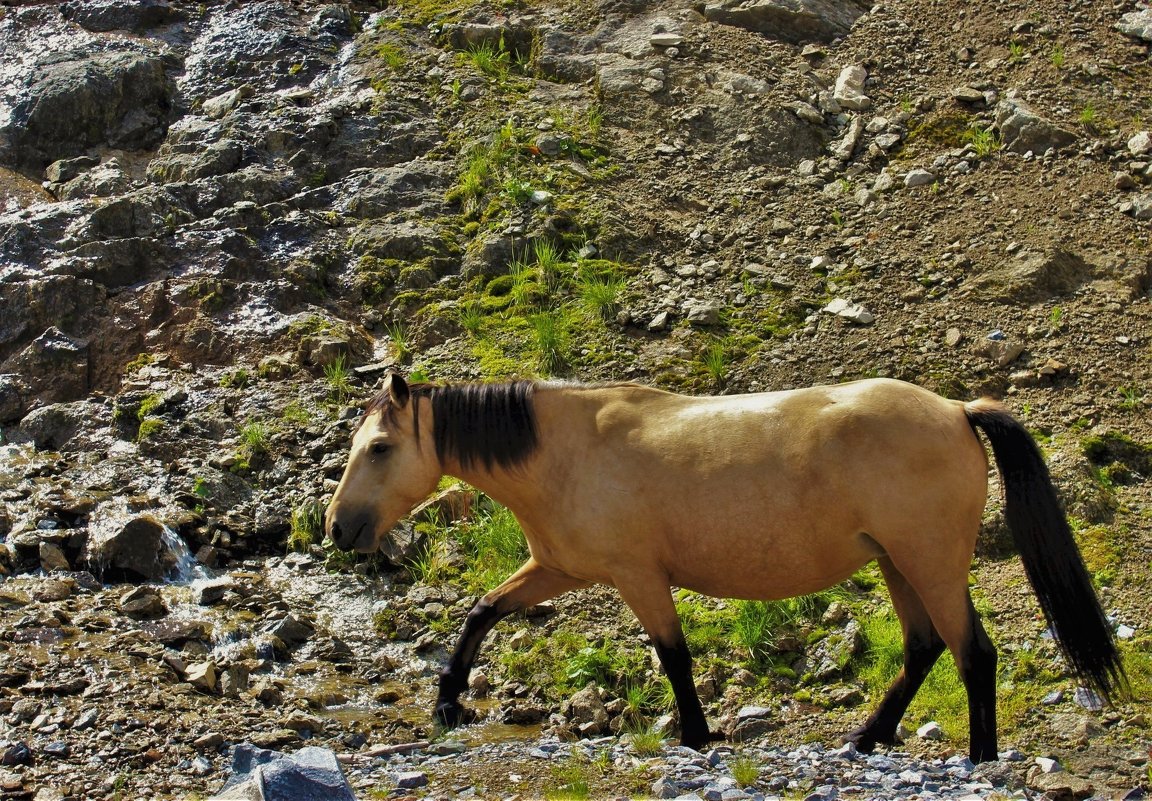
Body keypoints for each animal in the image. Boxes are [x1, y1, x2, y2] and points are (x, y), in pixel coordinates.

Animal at [324, 375, 1124, 765]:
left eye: (380, 449)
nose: (338, 527)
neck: (565, 451)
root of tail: (957, 410)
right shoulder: (555, 568)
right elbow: (482, 611)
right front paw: (447, 704)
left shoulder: (637, 576)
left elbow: (673, 655)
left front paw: (694, 735)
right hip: (900, 563)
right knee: (925, 648)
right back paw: (866, 738)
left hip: (928, 561)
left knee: (973, 653)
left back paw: (981, 759)